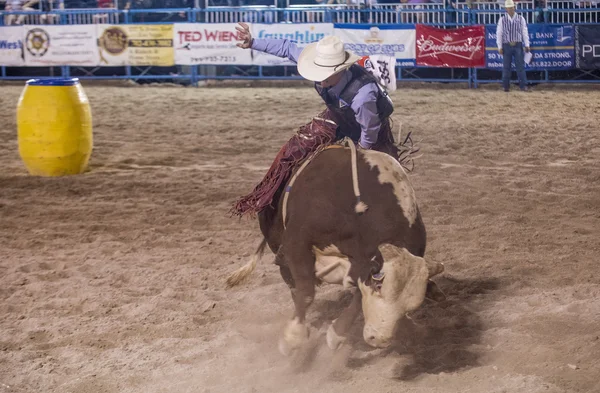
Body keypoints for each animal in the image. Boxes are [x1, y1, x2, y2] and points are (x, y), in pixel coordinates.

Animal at [227, 147, 442, 356]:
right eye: (380, 286)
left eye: (410, 306)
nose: (379, 339)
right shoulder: (296, 242)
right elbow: (305, 292)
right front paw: (292, 338)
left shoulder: (361, 265)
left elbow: (358, 296)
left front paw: (336, 335)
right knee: (291, 281)